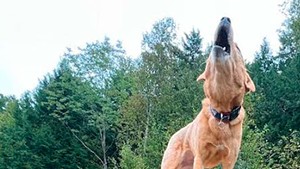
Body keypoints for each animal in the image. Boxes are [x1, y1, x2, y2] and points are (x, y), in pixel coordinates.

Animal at [162, 16, 255, 168]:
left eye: (239, 49)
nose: (225, 18)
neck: (222, 115)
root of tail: (173, 135)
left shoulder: (229, 159)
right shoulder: (200, 157)